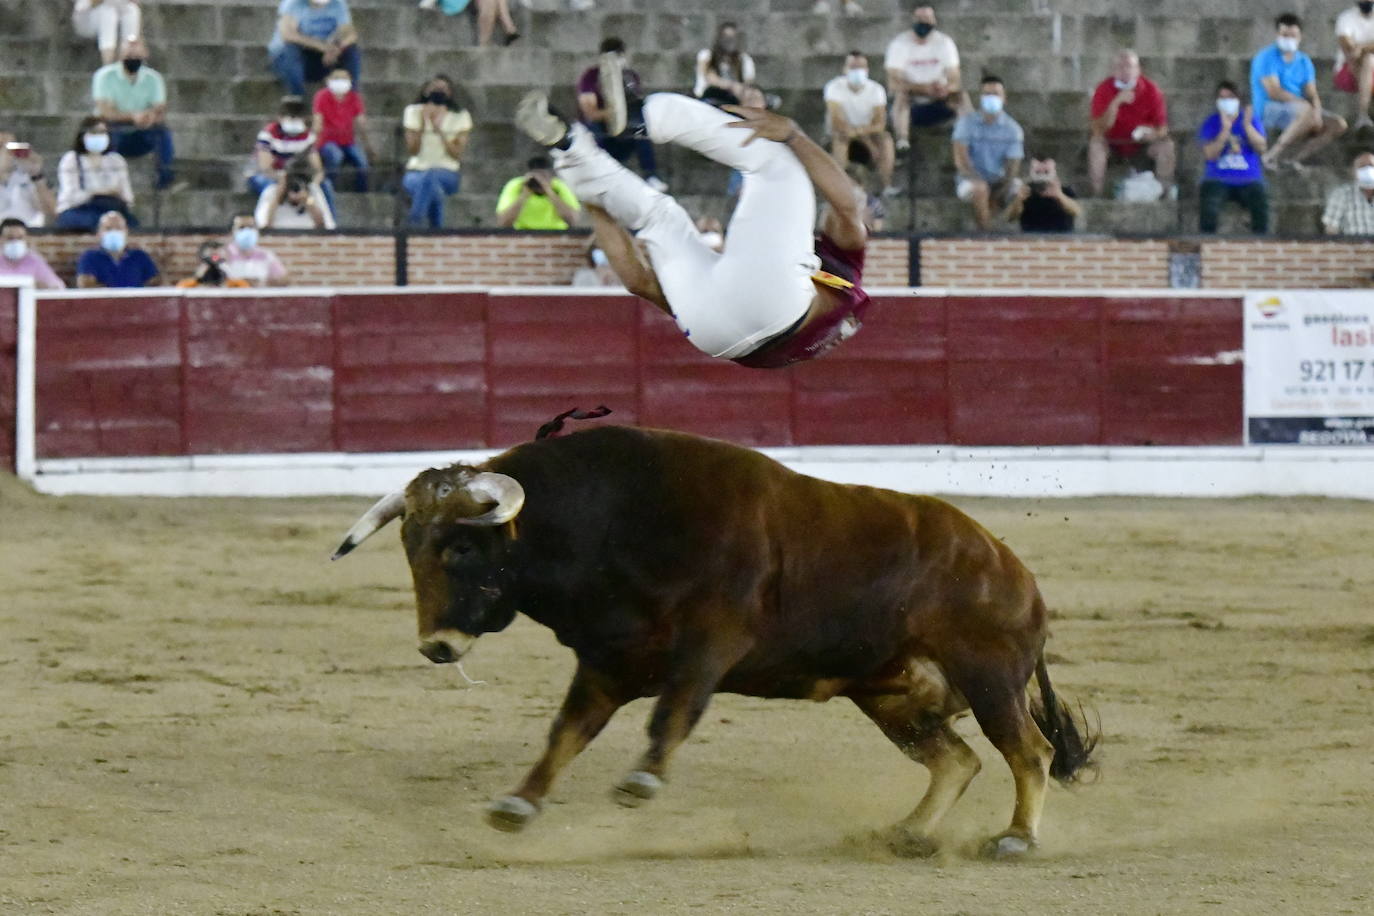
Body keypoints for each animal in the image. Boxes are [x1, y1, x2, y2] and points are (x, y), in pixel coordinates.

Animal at [332, 422, 1093, 862]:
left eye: (461, 547)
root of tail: (1013, 572)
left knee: (1028, 751)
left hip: (990, 676)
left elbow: (675, 711)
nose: (437, 646)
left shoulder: (710, 644)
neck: (611, 522)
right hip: (892, 695)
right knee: (956, 760)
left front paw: (640, 782)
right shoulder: (608, 662)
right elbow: (567, 733)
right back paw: (908, 833)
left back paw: (1015, 839)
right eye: (410, 546)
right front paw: (517, 805)